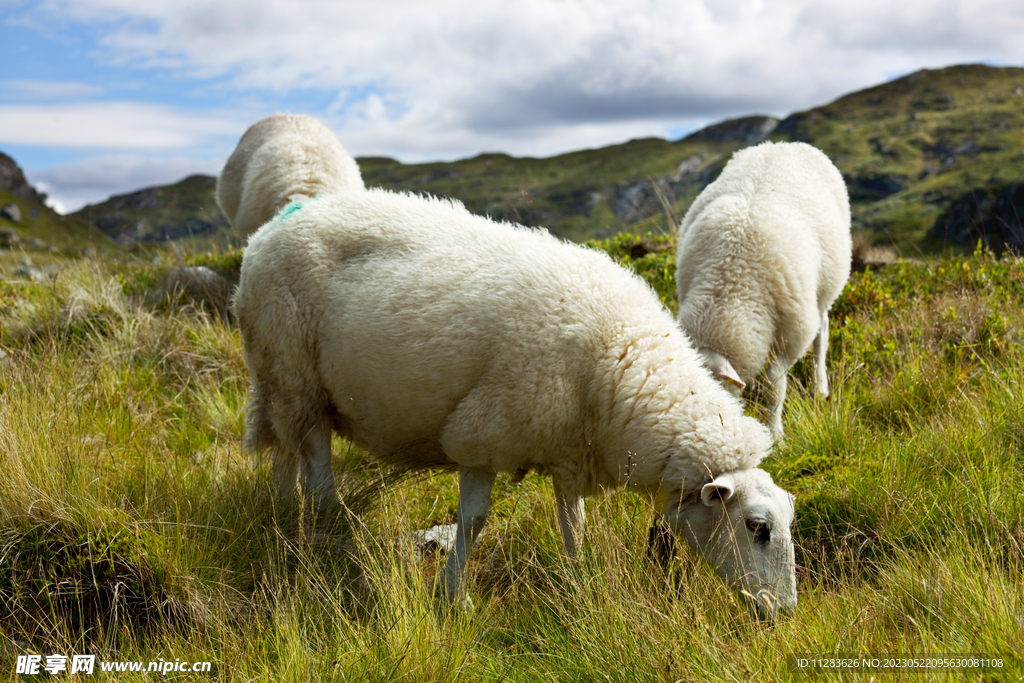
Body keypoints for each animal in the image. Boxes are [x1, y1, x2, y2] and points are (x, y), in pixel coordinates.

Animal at [234, 188, 798, 618]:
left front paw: (578, 580)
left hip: (285, 387)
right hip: (295, 374)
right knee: (317, 475)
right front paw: (452, 596)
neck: (621, 365)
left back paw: (284, 519)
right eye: (757, 527)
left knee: (287, 457)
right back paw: (327, 543)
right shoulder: (483, 433)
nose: (784, 614)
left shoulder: (570, 449)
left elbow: (573, 522)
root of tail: (265, 234)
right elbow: (474, 521)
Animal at [675, 140, 851, 438]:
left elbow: (774, 386)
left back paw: (820, 387)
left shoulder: (791, 333)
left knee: (822, 333)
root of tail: (785, 143)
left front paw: (775, 433)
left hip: (825, 288)